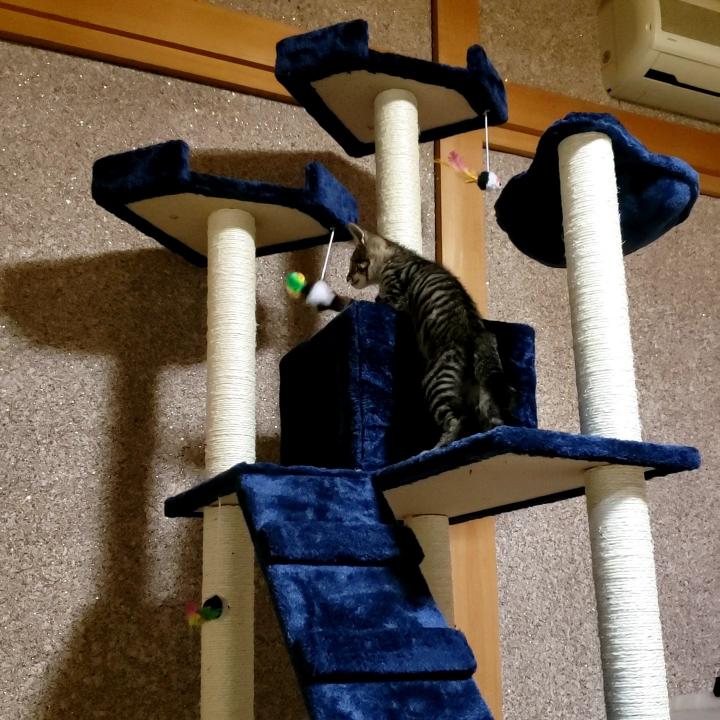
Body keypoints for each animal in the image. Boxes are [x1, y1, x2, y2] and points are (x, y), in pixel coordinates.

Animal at [343, 223, 515, 448]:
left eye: (355, 263)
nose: (347, 278)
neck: (397, 255)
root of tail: (479, 334)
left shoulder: (395, 296)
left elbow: (378, 300)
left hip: (437, 382)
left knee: (459, 419)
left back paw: (440, 446)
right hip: (481, 394)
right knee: (490, 420)